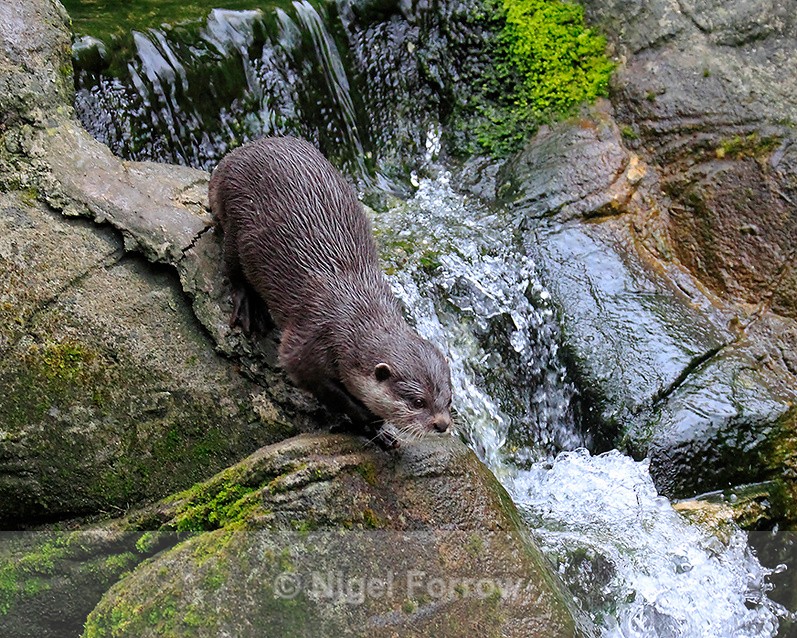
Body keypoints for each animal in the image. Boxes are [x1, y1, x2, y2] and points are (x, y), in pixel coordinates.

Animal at [209, 136, 453, 446]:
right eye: (417, 401)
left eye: (449, 399)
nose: (442, 424)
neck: (355, 314)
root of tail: (236, 155)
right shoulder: (307, 342)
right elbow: (324, 387)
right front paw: (369, 421)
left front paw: (382, 433)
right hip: (237, 217)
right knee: (231, 262)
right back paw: (249, 305)